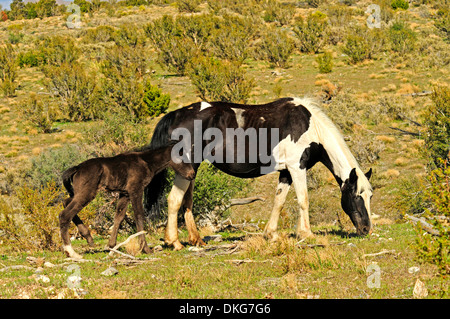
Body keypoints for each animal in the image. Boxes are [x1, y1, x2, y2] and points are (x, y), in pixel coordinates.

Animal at [59, 145, 194, 260]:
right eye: (182, 157)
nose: (192, 174)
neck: (147, 162)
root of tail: (77, 168)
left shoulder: (125, 194)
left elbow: (119, 216)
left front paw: (112, 245)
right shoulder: (136, 190)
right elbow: (139, 216)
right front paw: (145, 249)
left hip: (79, 193)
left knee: (65, 202)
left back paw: (88, 238)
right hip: (87, 193)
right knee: (64, 214)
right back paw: (71, 252)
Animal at [144, 96, 372, 251]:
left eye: (370, 196)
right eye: (356, 196)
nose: (366, 230)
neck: (311, 128)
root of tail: (176, 114)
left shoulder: (286, 172)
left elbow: (279, 202)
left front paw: (271, 234)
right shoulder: (297, 168)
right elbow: (303, 199)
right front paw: (306, 233)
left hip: (192, 169)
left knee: (186, 201)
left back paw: (196, 239)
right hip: (187, 167)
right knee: (174, 200)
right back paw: (174, 241)